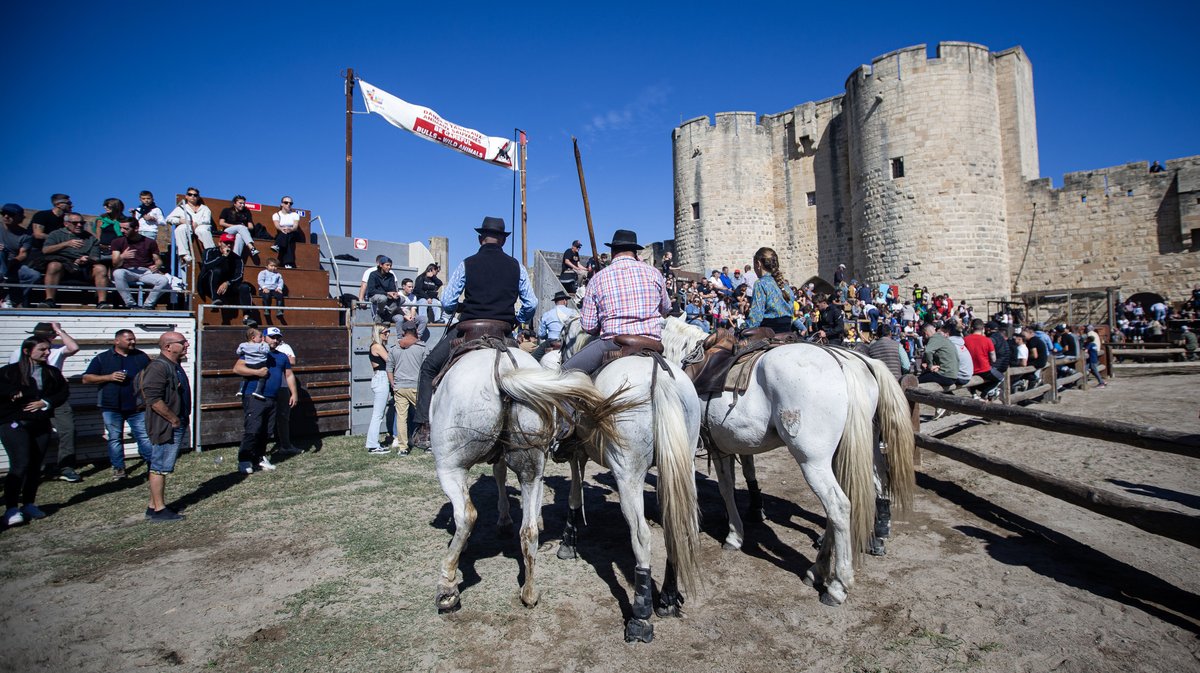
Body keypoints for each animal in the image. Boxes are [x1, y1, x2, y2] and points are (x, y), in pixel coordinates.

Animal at [429, 343, 619, 611]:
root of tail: (502, 371)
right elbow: (499, 475)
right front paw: (504, 519)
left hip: (449, 467)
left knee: (467, 515)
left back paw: (447, 588)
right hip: (531, 469)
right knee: (529, 530)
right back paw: (529, 592)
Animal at [556, 328, 705, 643]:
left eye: (562, 338)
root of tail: (658, 376)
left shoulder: (578, 452)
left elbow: (575, 491)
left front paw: (567, 542)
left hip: (628, 474)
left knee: (641, 535)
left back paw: (640, 617)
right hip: (682, 467)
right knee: (676, 528)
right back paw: (668, 599)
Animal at [662, 316, 912, 607]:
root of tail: (846, 364)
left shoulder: (712, 448)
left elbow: (722, 489)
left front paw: (731, 535)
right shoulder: (729, 444)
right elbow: (736, 481)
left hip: (813, 461)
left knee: (839, 507)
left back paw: (837, 585)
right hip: (857, 450)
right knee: (871, 487)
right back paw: (820, 568)